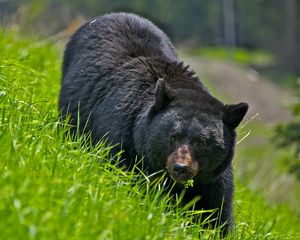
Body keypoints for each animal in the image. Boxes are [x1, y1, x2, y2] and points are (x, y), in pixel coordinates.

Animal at [59, 12, 248, 233]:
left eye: (201, 142)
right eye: (173, 136)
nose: (180, 167)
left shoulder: (214, 179)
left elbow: (218, 212)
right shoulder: (123, 142)